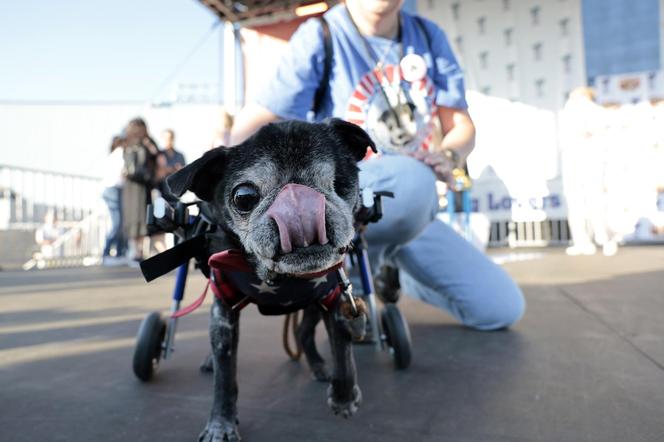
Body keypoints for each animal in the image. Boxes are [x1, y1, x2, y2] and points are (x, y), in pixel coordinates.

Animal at [166, 117, 376, 442]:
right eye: (243, 198)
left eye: (340, 182)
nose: (299, 203)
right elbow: (225, 377)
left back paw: (318, 366)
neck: (279, 278)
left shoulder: (336, 300)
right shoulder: (223, 312)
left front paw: (344, 398)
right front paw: (221, 423)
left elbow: (343, 352)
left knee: (303, 333)